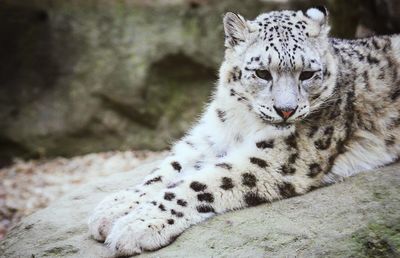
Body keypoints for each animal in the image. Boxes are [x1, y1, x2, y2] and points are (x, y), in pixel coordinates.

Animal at [87, 6, 400, 256]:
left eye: (308, 74)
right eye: (262, 73)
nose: (286, 110)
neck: (244, 123)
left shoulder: (280, 158)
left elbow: (199, 183)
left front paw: (137, 224)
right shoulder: (211, 135)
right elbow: (169, 168)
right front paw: (113, 207)